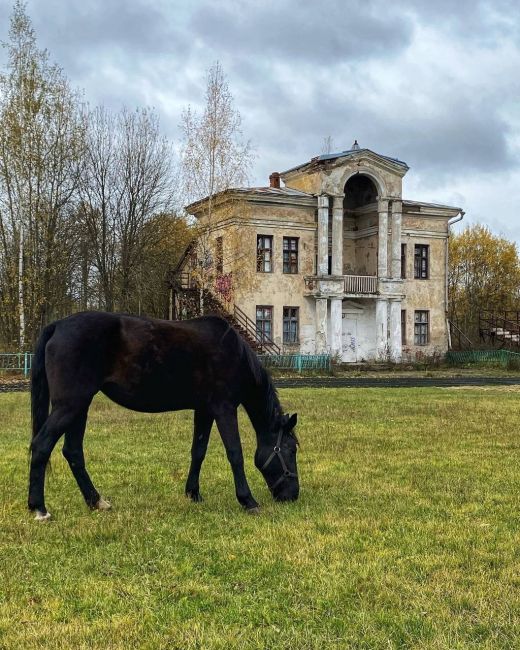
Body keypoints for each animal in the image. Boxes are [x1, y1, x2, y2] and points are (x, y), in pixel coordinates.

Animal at [28, 312, 298, 520]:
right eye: (290, 449)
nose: (292, 495)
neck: (234, 353)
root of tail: (57, 326)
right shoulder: (224, 409)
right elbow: (235, 454)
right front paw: (248, 500)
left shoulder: (204, 410)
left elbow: (198, 451)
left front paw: (193, 493)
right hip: (69, 406)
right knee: (41, 445)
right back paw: (39, 508)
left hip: (79, 408)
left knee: (72, 451)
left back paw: (96, 501)